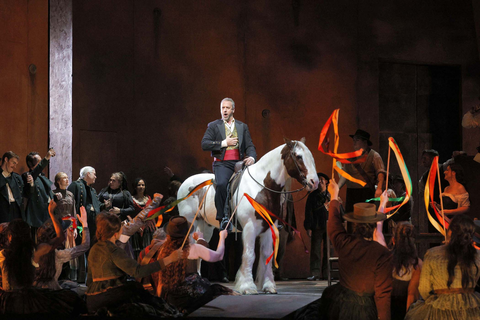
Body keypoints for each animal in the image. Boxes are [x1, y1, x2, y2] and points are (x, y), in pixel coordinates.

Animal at [178, 139, 316, 294]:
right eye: (298, 156)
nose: (314, 182)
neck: (261, 186)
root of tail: (186, 183)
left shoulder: (269, 227)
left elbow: (266, 254)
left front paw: (268, 286)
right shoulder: (250, 227)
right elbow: (250, 255)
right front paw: (247, 287)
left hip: (205, 226)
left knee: (200, 248)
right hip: (190, 223)